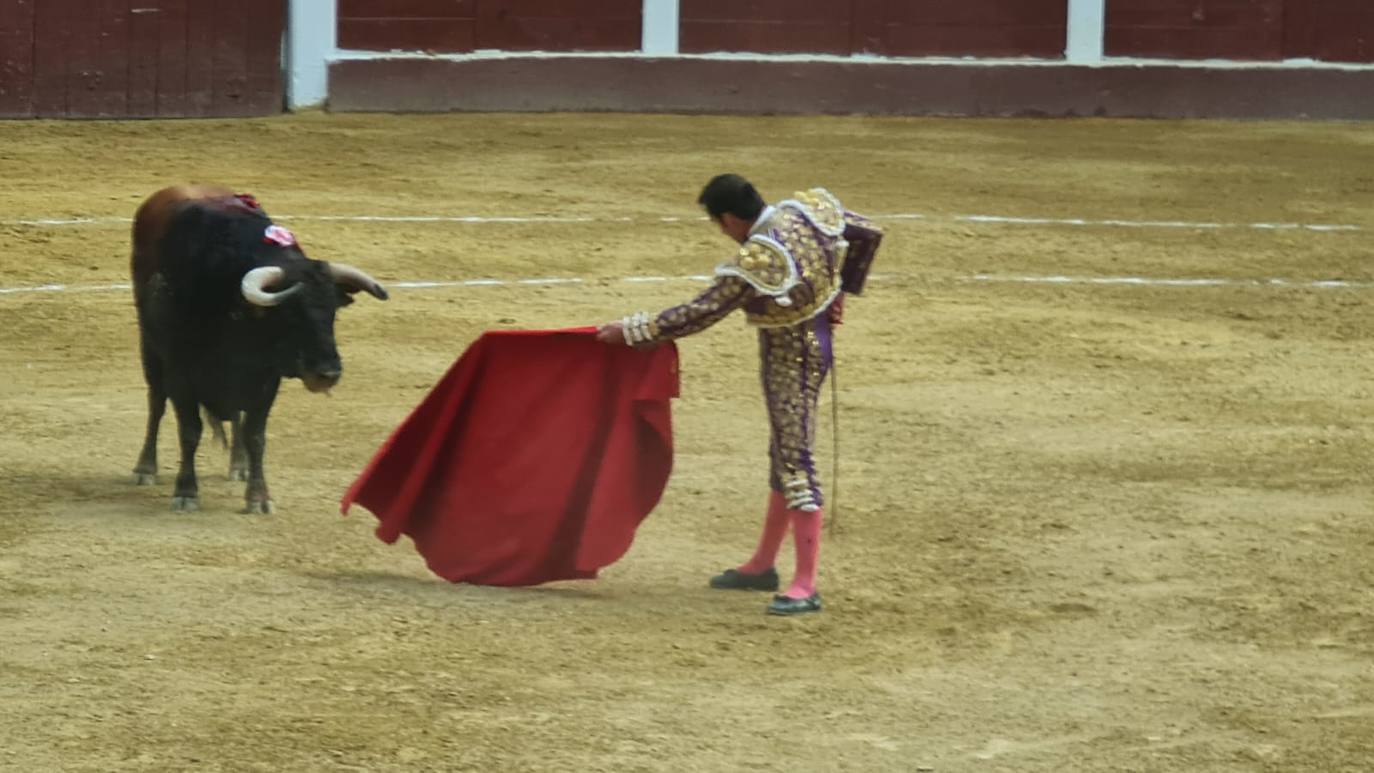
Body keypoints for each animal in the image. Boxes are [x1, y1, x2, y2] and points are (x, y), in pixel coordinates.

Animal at [129, 186, 387, 513]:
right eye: (290, 313)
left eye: (333, 313)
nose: (328, 373)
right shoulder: (180, 372)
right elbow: (189, 430)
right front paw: (186, 492)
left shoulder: (264, 377)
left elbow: (255, 435)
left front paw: (259, 496)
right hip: (150, 350)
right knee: (156, 403)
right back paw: (145, 467)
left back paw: (239, 465)